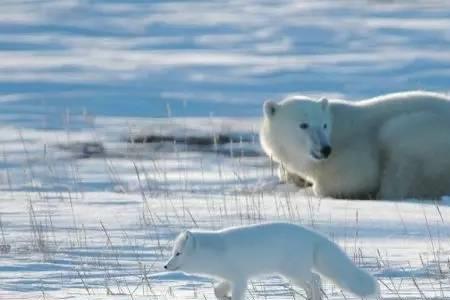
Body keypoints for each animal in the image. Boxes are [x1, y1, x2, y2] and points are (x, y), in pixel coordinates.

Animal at [163, 223, 378, 300]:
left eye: (178, 253)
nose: (165, 265)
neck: (217, 253)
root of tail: (313, 236)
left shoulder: (240, 278)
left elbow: (236, 294)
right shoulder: (230, 277)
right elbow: (217, 290)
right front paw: (224, 297)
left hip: (294, 271)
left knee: (316, 279)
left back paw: (315, 298)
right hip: (291, 275)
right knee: (311, 283)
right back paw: (310, 298)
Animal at [260, 90, 450, 200]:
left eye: (324, 125)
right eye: (303, 125)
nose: (325, 149)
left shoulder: (354, 150)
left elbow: (352, 177)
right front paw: (295, 179)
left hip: (418, 133)